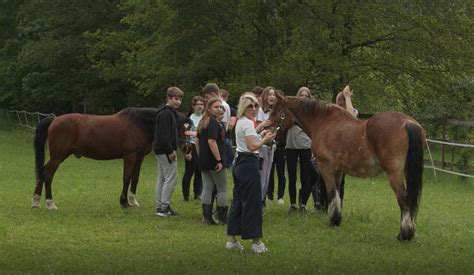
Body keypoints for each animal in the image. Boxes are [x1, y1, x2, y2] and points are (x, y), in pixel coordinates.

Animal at [31, 106, 192, 210]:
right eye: (177, 126)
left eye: (188, 126)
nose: (187, 147)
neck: (139, 124)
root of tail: (54, 119)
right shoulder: (130, 156)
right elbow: (126, 178)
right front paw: (124, 202)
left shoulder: (139, 157)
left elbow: (135, 178)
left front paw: (133, 201)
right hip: (57, 157)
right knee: (47, 174)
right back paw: (50, 203)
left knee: (42, 172)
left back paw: (36, 202)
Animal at [270, 92, 426, 242]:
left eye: (277, 111)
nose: (268, 130)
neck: (323, 122)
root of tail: (408, 122)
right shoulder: (339, 170)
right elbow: (338, 193)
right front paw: (337, 219)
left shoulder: (325, 167)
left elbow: (331, 193)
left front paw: (332, 221)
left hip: (394, 173)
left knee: (403, 199)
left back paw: (403, 235)